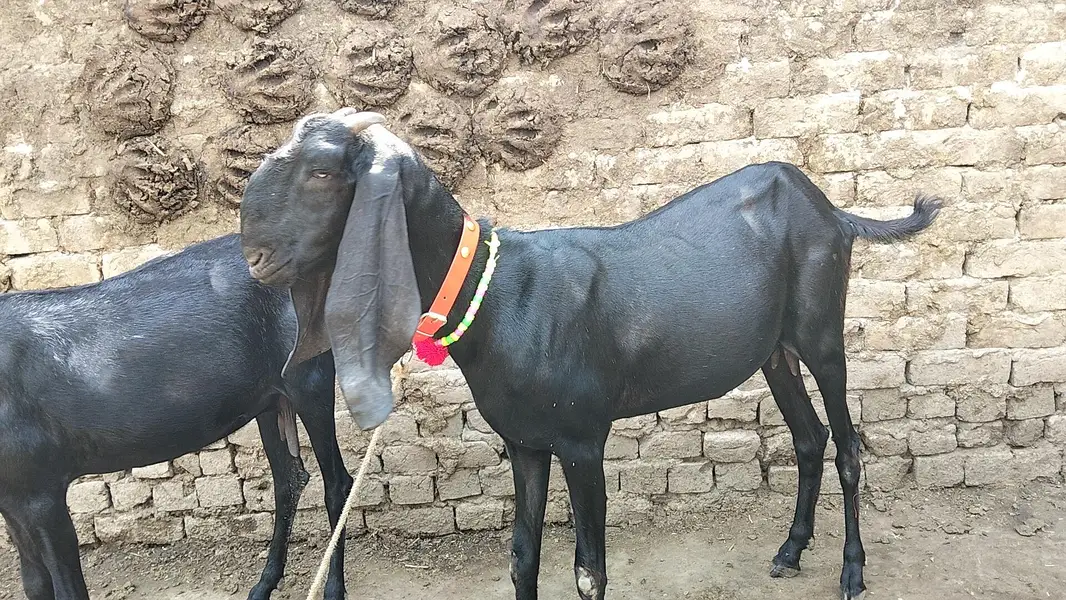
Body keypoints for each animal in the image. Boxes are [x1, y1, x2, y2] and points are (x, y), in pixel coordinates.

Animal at [0, 234, 353, 600]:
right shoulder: (14, 499)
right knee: (288, 482)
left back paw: (332, 589)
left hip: (309, 377)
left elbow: (67, 588)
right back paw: (263, 584)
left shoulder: (44, 494)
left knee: (337, 484)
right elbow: (34, 583)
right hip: (270, 400)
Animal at [238, 108, 942, 600]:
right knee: (808, 437)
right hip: (775, 349)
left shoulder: (581, 440)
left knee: (847, 444)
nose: (254, 256)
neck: (500, 298)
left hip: (821, 329)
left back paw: (851, 572)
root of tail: (829, 208)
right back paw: (791, 551)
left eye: (322, 171)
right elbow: (522, 559)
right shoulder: (525, 441)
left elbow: (587, 574)